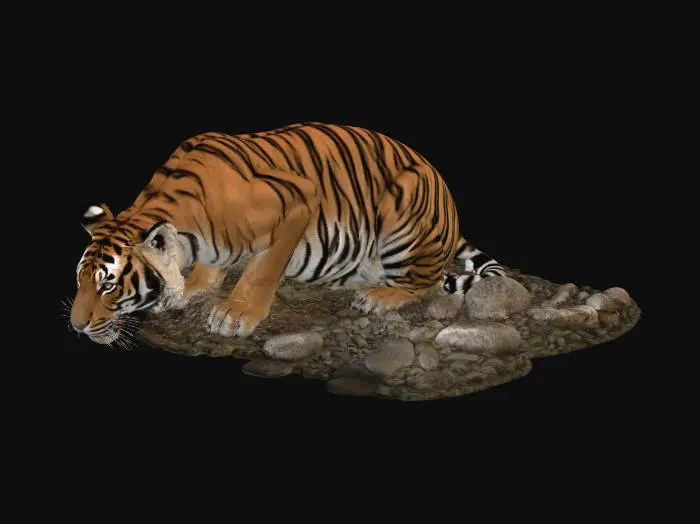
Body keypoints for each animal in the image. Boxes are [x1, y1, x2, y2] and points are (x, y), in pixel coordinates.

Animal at [71, 122, 505, 345]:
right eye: (81, 282)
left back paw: (377, 296)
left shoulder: (298, 202)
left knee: (427, 283)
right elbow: (211, 269)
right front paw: (194, 288)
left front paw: (235, 314)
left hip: (404, 209)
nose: (75, 326)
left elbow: (260, 272)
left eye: (108, 285)